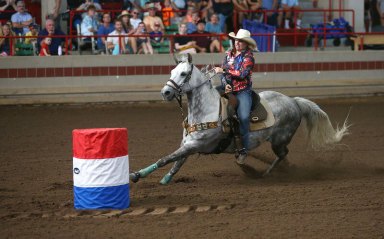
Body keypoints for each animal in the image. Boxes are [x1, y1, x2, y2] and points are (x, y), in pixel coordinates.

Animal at [130, 53, 350, 185]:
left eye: (184, 73)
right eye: (172, 72)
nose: (165, 92)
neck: (206, 110)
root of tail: (294, 101)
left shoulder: (195, 145)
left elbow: (166, 158)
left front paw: (136, 175)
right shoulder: (188, 144)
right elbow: (176, 162)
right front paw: (164, 179)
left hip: (279, 140)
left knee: (282, 154)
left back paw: (264, 173)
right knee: (283, 156)